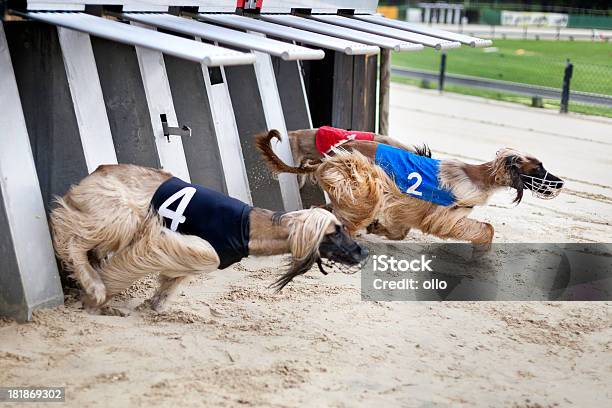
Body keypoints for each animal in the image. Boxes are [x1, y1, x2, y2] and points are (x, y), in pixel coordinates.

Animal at [50, 164, 366, 310]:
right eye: (336, 231)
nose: (362, 252)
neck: (249, 229)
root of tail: (100, 170)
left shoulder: (181, 257)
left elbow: (169, 286)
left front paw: (153, 305)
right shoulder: (183, 247)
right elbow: (127, 267)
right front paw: (97, 296)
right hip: (120, 214)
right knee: (72, 238)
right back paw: (92, 283)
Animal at [256, 130, 564, 245]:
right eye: (538, 168)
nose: (560, 182)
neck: (478, 178)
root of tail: (328, 158)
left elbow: (399, 230)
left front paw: (380, 229)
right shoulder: (440, 215)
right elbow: (483, 229)